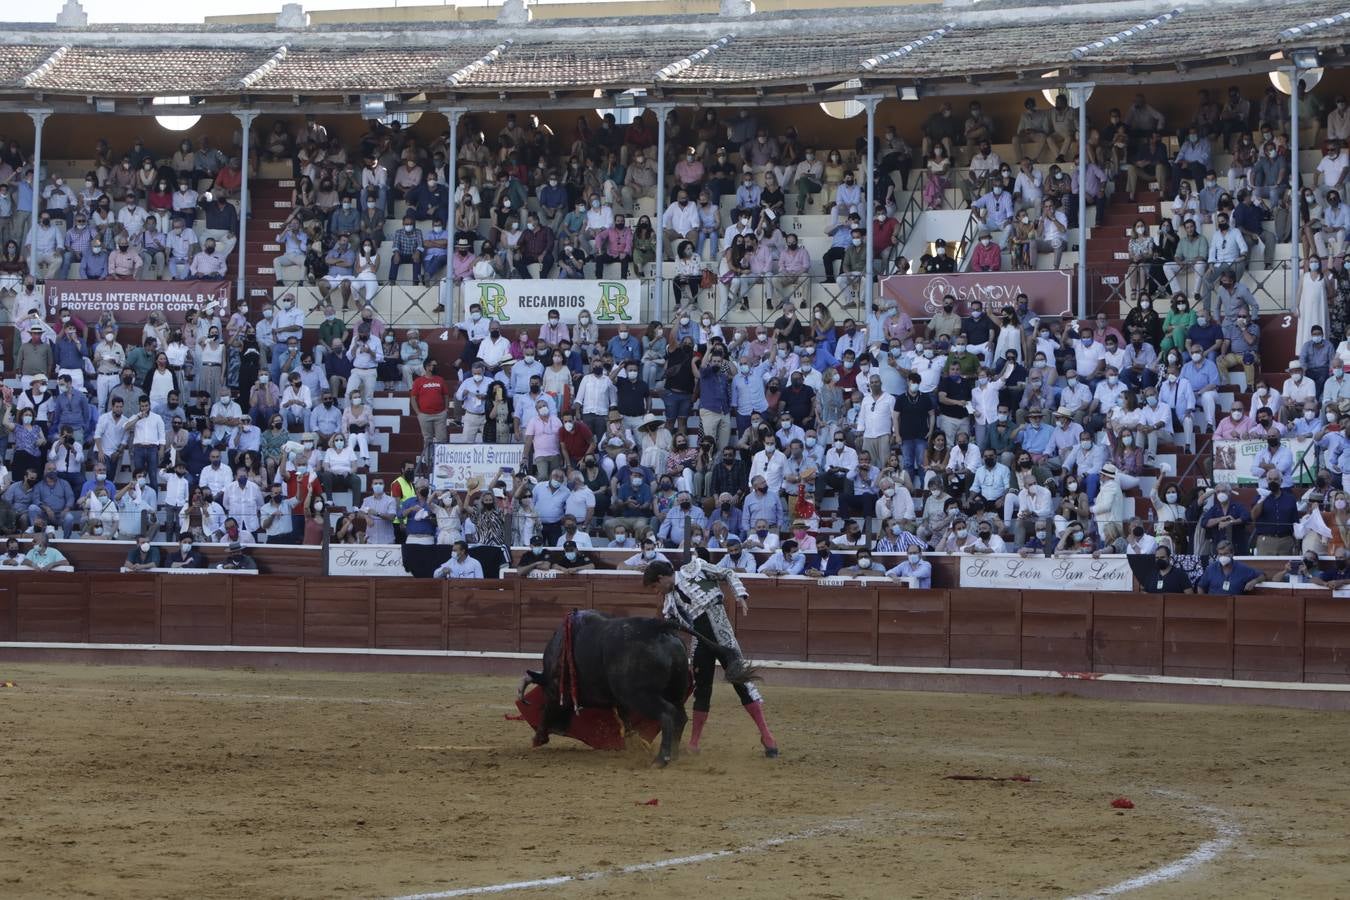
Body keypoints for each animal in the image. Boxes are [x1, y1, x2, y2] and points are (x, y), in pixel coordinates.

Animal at [521, 612, 761, 766]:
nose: (558, 730)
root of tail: (655, 627)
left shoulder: (554, 688)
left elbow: (549, 707)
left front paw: (539, 737)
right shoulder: (620, 699)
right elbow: (626, 719)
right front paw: (632, 742)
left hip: (640, 695)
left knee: (666, 714)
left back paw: (661, 759)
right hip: (671, 691)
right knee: (680, 717)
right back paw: (674, 754)